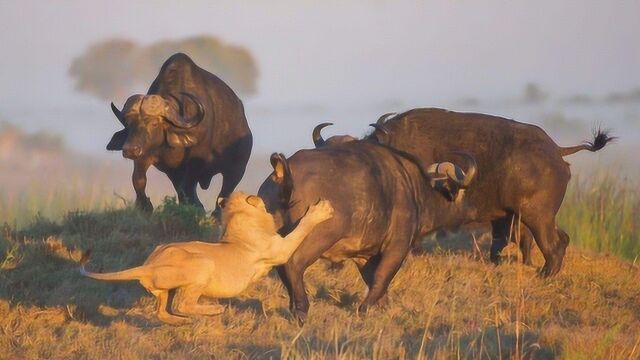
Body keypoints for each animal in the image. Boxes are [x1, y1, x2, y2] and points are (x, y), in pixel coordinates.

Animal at [107, 53, 252, 215]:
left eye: (154, 123)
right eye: (128, 123)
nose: (130, 150)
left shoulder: (196, 162)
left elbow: (186, 188)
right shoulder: (147, 156)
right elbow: (138, 180)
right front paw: (145, 206)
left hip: (237, 168)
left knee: (224, 192)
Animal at [258, 141, 476, 324]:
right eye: (461, 191)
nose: (470, 210)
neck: (414, 188)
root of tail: (284, 172)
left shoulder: (363, 256)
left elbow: (372, 279)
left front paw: (383, 307)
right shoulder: (398, 246)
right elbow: (383, 276)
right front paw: (365, 308)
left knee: (282, 266)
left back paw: (292, 307)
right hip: (318, 237)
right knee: (293, 264)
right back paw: (302, 310)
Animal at [370, 108, 616, 278]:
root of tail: (556, 150)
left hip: (537, 217)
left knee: (553, 246)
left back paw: (544, 275)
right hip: (531, 217)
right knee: (556, 239)